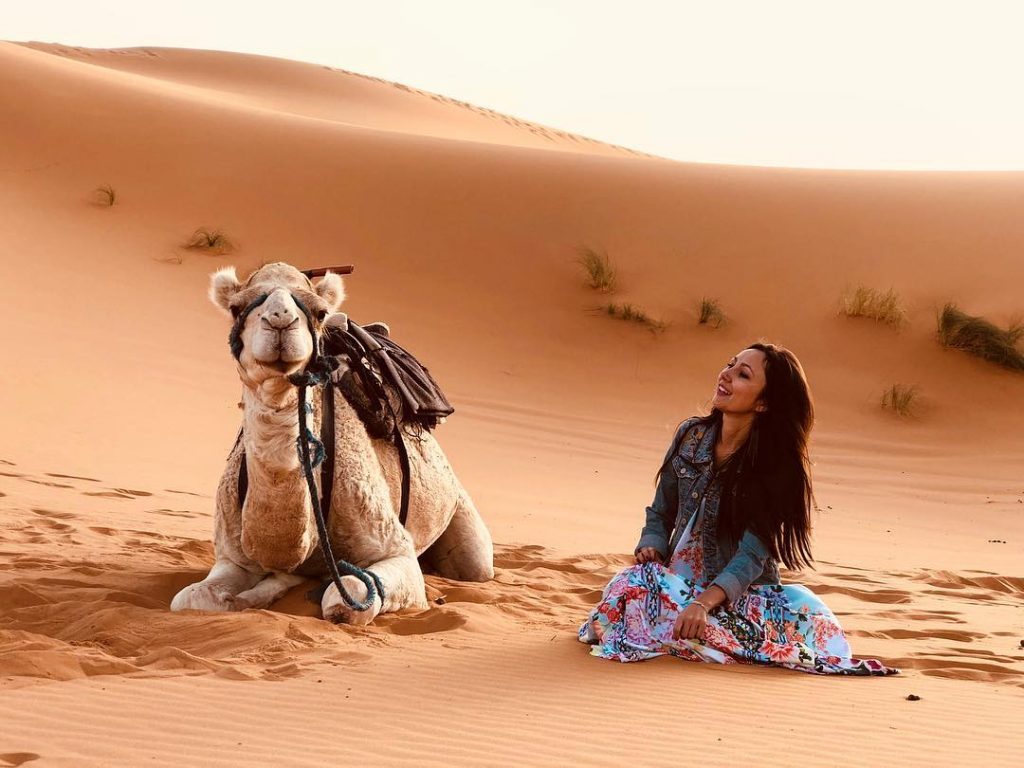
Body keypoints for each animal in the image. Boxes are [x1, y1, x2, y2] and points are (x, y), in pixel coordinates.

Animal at [171, 262, 494, 624]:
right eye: (236, 308)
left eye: (320, 311)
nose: (281, 319)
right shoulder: (232, 555)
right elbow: (190, 599)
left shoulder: (397, 550)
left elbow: (345, 600)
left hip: (465, 526)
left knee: (474, 564)